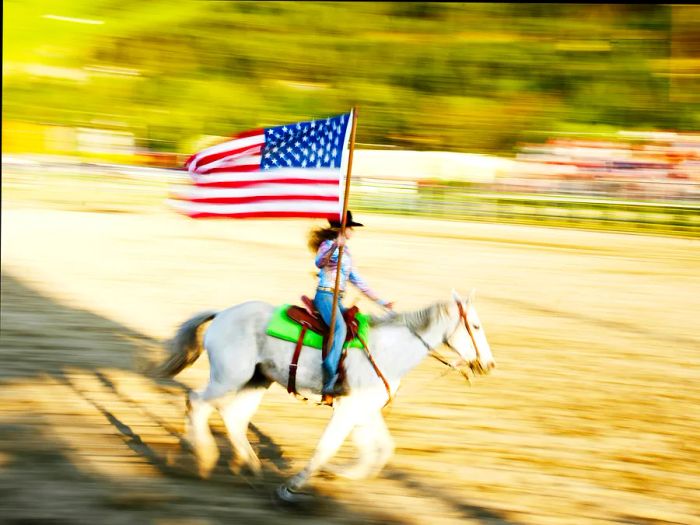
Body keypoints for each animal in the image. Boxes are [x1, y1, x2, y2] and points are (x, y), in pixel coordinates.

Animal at [156, 288, 494, 502]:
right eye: (476, 326)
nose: (489, 365)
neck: (388, 351)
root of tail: (223, 313)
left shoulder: (364, 411)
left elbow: (381, 449)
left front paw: (339, 475)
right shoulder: (347, 410)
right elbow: (326, 448)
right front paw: (290, 488)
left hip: (256, 380)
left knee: (233, 417)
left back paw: (248, 465)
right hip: (228, 377)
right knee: (197, 402)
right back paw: (203, 458)